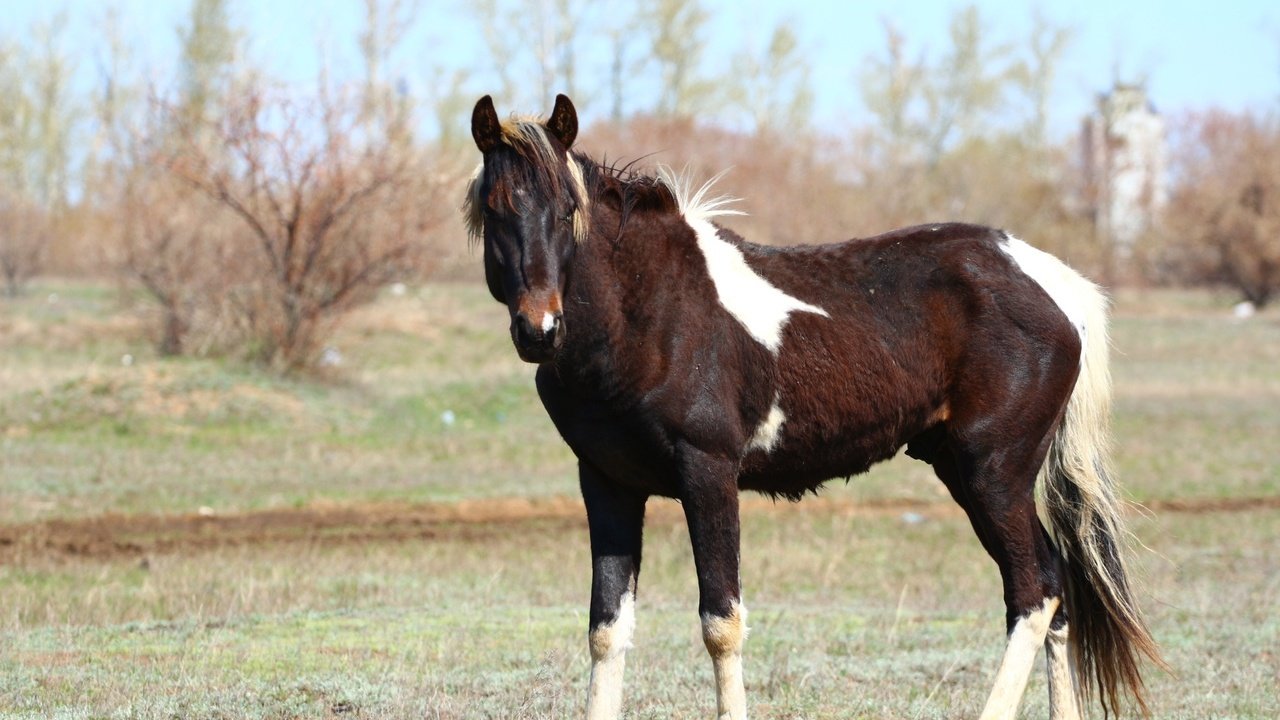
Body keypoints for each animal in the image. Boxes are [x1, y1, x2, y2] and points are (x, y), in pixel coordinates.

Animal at [460, 92, 1162, 712]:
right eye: (494, 211)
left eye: (566, 211)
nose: (539, 330)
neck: (650, 314)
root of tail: (1057, 285)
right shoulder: (606, 484)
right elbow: (607, 630)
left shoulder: (707, 474)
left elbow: (721, 623)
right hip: (972, 474)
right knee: (1056, 595)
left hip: (994, 474)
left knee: (1034, 593)